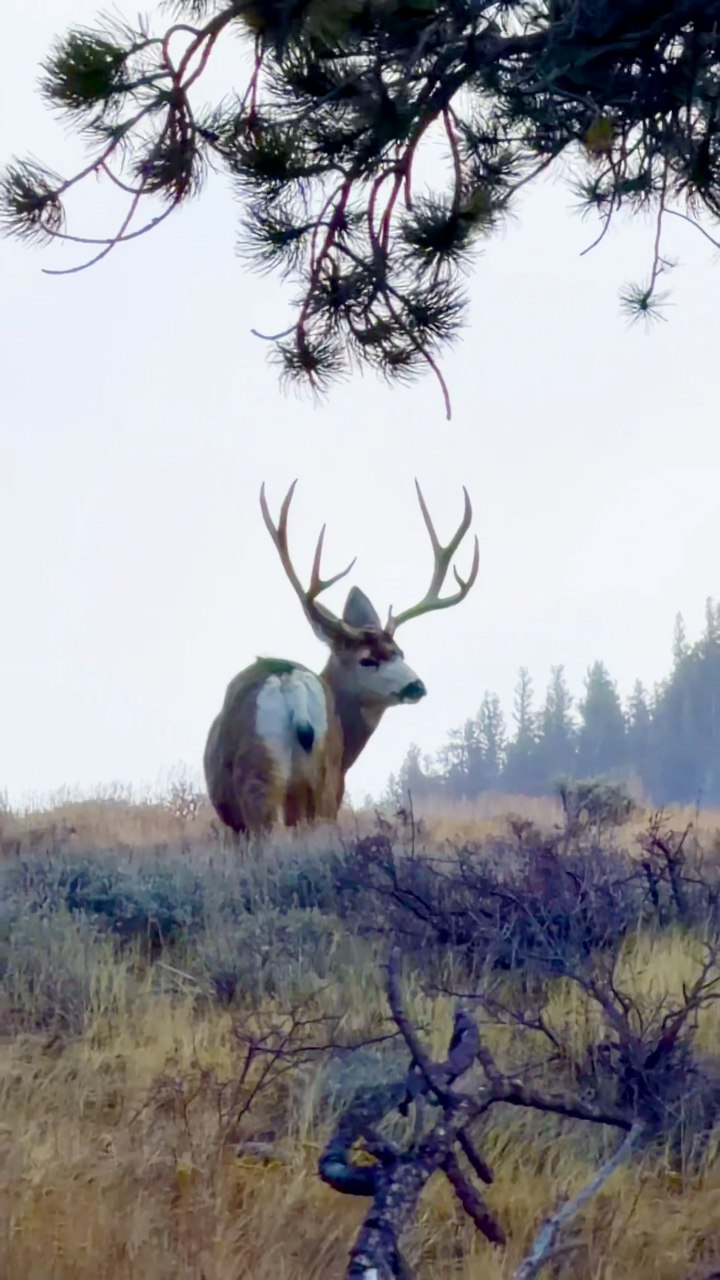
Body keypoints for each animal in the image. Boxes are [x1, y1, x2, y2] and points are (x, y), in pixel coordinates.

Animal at [203, 480, 479, 835]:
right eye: (368, 659)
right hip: (319, 782)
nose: (416, 686)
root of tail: (290, 684)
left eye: (399, 652)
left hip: (262, 779)